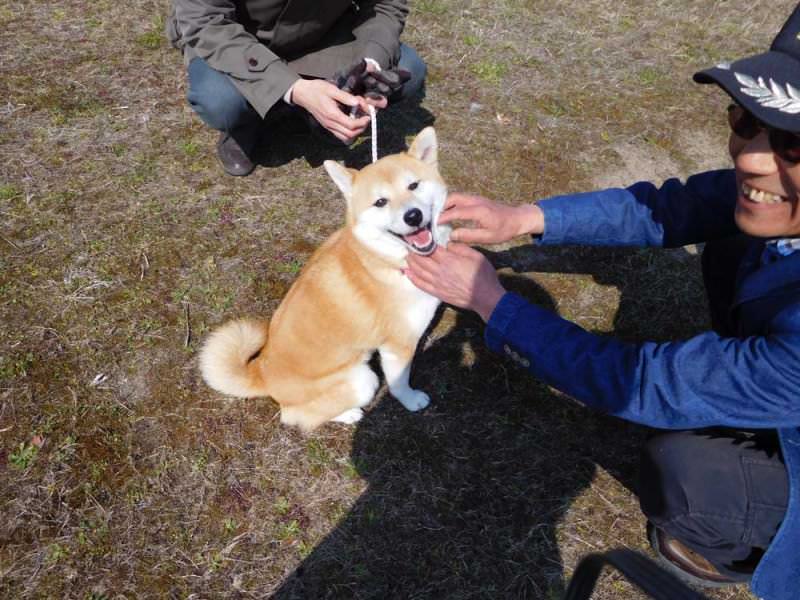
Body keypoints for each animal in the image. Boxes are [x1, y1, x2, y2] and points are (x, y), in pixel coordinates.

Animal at [198, 127, 450, 432]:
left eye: (414, 185)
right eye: (380, 202)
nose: (413, 216)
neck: (384, 258)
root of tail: (262, 372)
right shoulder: (397, 347)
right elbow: (399, 383)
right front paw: (412, 400)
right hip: (362, 379)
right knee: (295, 416)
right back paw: (349, 414)